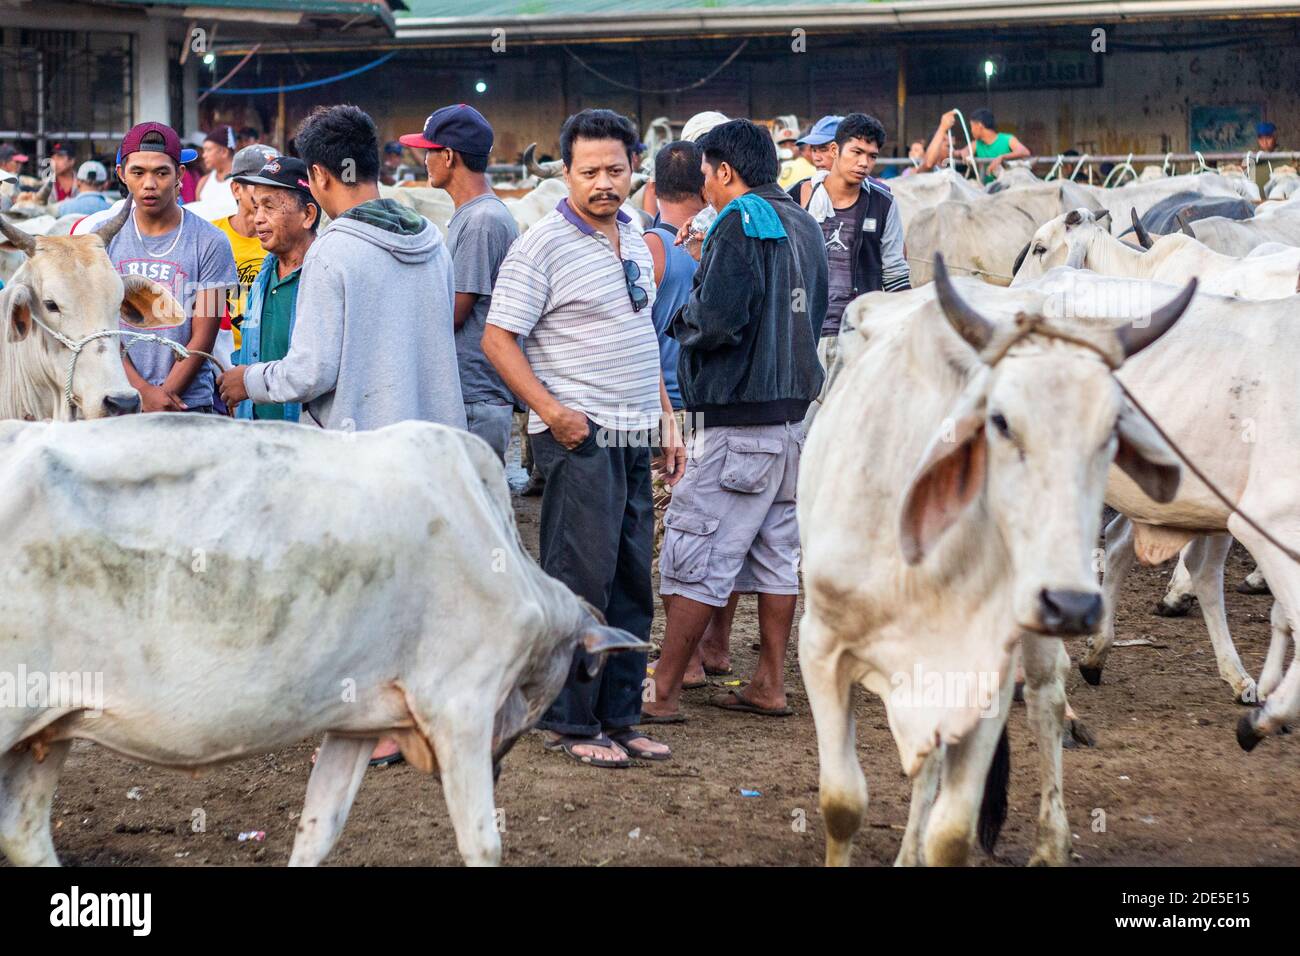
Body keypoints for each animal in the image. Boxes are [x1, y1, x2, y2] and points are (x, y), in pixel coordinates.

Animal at [0, 416, 644, 868]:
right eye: (578, 672)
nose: (501, 765)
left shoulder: (356, 719)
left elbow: (319, 828)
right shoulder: (459, 704)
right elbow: (482, 842)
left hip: (49, 723)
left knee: (23, 831)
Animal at [790, 256, 1190, 868]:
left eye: (1111, 431)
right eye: (999, 422)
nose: (1072, 604)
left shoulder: (984, 675)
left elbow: (952, 833)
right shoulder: (822, 650)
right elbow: (843, 802)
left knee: (1047, 699)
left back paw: (1052, 842)